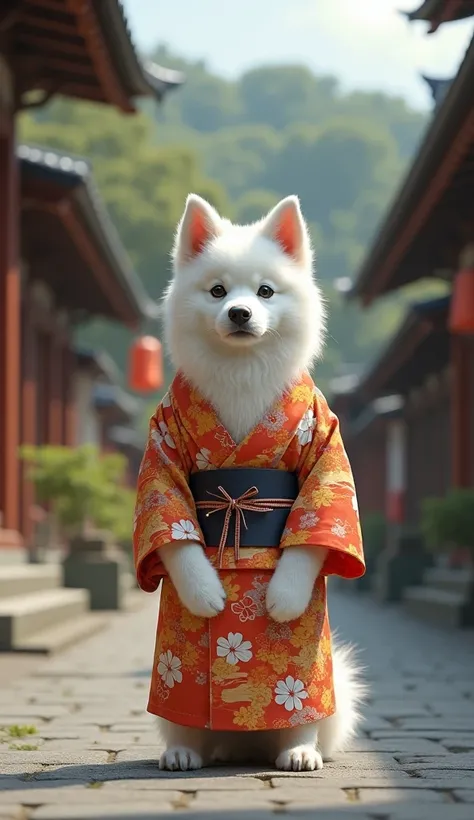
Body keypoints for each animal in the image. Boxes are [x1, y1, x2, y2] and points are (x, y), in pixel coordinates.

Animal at [157, 195, 364, 772]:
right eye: (218, 291)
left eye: (266, 291)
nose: (240, 313)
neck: (242, 374)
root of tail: (244, 745)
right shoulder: (162, 448)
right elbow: (173, 530)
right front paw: (206, 592)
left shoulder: (326, 450)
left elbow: (315, 527)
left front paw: (284, 598)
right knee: (180, 720)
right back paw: (183, 749)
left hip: (315, 690)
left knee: (305, 720)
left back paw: (298, 749)